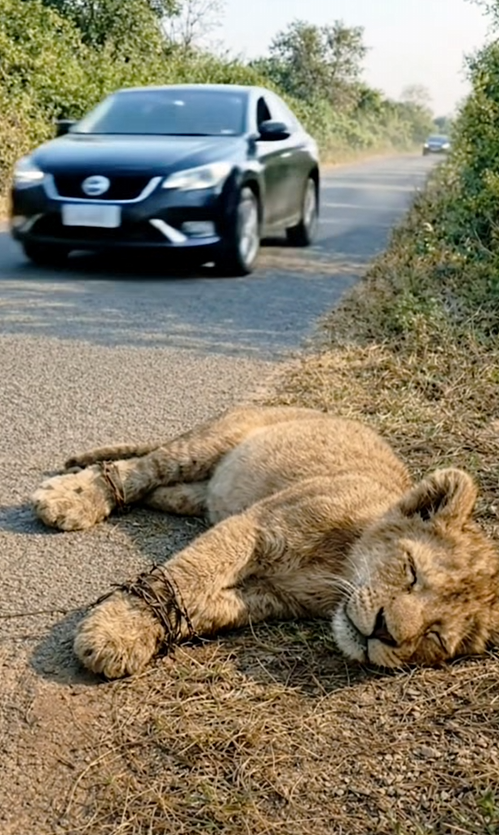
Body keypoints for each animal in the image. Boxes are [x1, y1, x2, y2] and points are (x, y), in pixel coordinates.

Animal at [31, 406, 499, 679]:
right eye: (411, 570)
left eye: (436, 637)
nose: (385, 632)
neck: (338, 568)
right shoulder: (253, 527)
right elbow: (184, 576)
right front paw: (116, 633)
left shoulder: (268, 598)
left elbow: (195, 609)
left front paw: (138, 634)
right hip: (207, 443)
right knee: (142, 468)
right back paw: (72, 497)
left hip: (195, 493)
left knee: (155, 488)